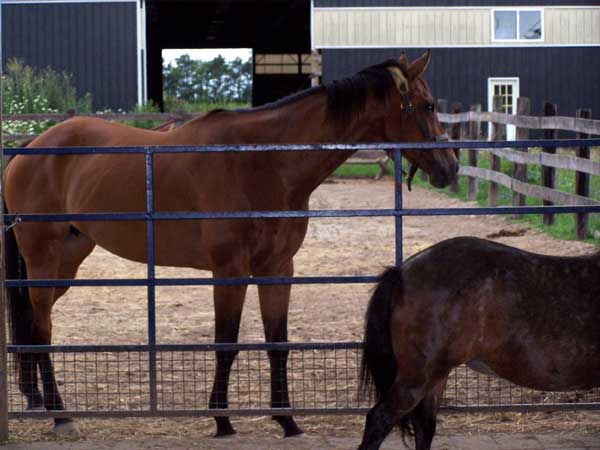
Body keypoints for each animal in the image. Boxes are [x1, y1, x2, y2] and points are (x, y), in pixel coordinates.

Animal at [3, 51, 460, 436]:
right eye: (428, 105)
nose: (450, 167)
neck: (260, 160)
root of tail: (31, 146)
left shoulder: (278, 268)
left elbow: (278, 345)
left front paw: (287, 421)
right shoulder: (230, 269)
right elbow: (227, 344)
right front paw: (222, 420)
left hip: (67, 260)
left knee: (30, 323)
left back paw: (37, 400)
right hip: (43, 258)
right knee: (41, 329)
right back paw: (61, 415)